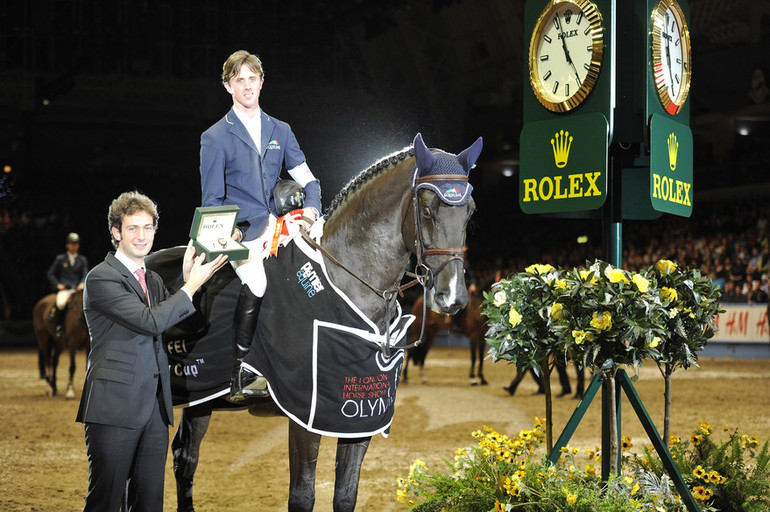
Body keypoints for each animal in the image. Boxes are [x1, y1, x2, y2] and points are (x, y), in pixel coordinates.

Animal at [149, 134, 480, 510]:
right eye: (426, 210)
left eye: (469, 212)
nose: (452, 297)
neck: (346, 280)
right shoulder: (305, 415)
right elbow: (302, 495)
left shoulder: (359, 416)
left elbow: (346, 496)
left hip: (202, 398)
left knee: (185, 457)